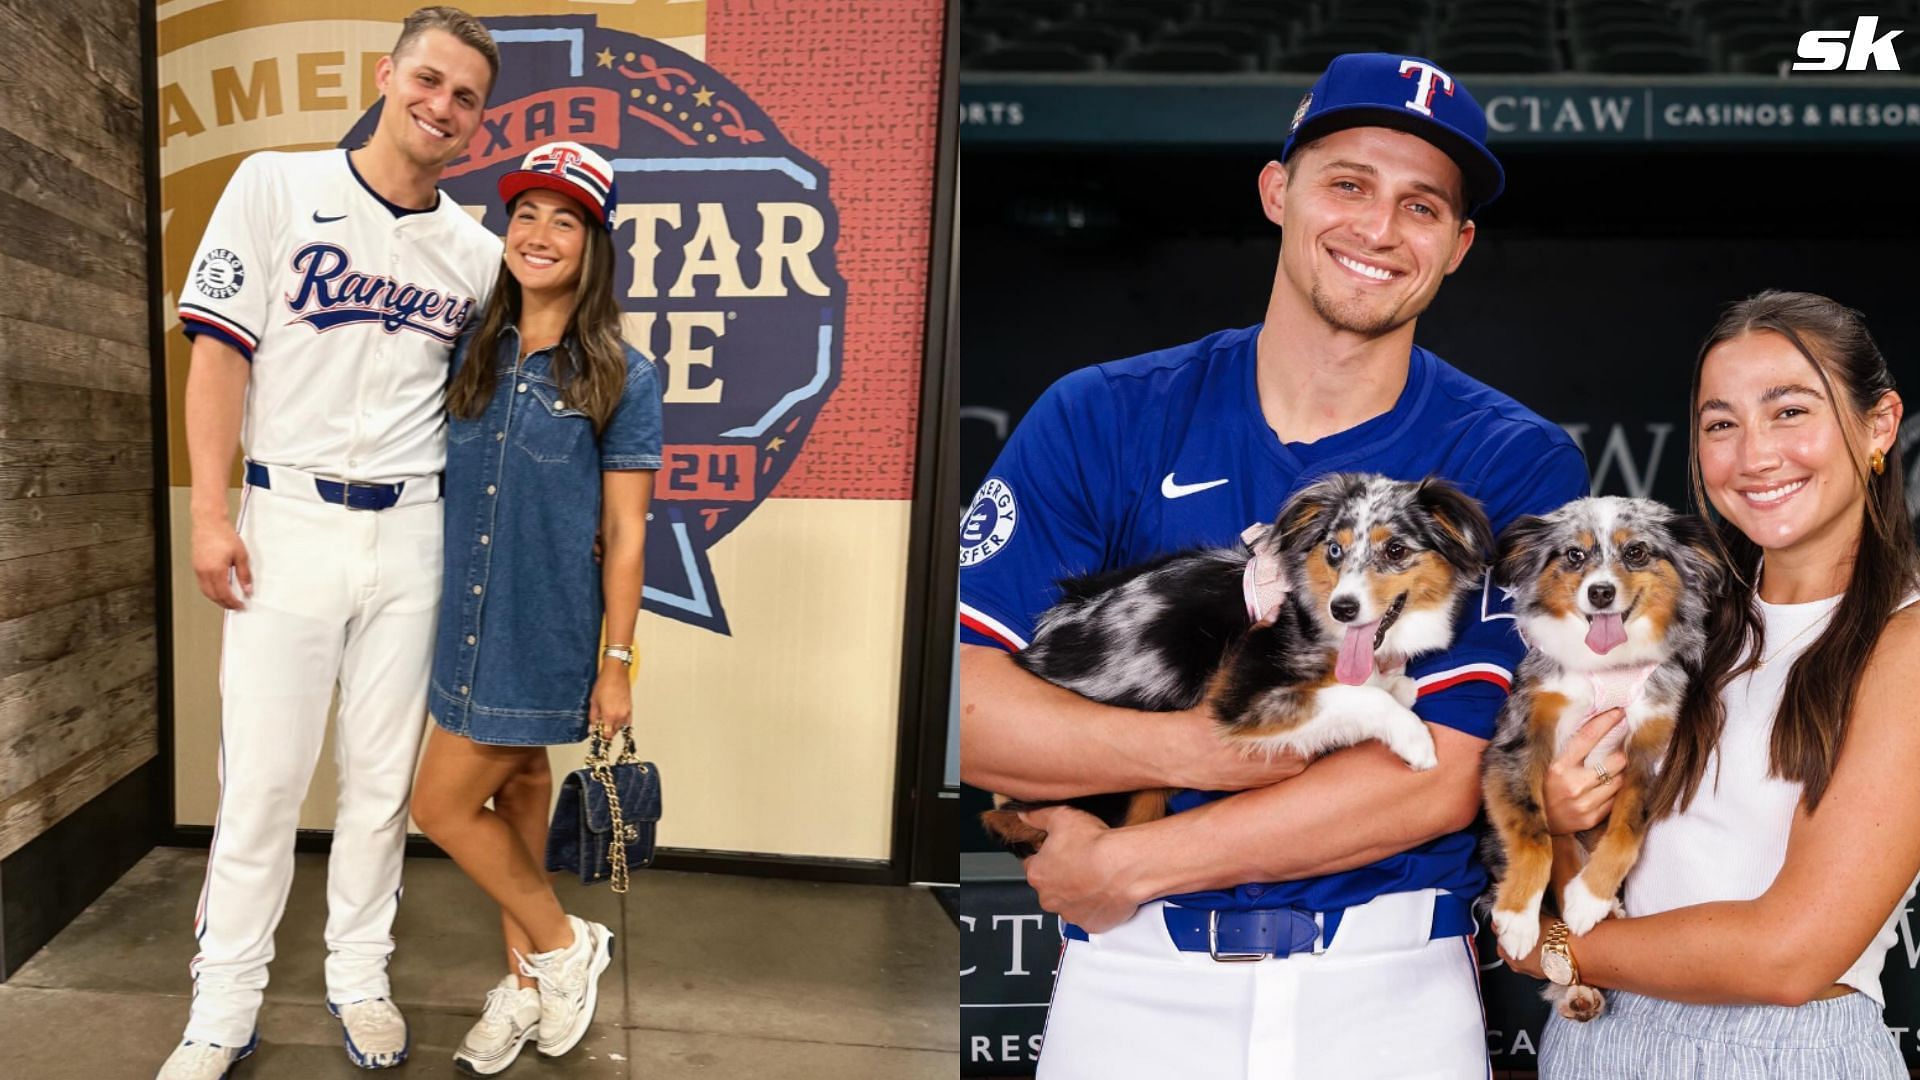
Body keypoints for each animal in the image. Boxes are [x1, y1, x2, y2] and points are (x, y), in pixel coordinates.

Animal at [975, 474, 1497, 853]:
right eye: (1334, 549)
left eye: (1396, 550)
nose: (1343, 609)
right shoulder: (1244, 695)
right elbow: (1354, 698)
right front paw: (1412, 736)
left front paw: (1393, 683)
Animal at [1474, 495, 1735, 1014]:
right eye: (1574, 555)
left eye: (1636, 552)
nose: (1600, 593)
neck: (1609, 667)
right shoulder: (1516, 740)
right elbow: (1534, 833)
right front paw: (1517, 916)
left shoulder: (1653, 748)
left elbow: (1627, 831)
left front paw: (1590, 900)